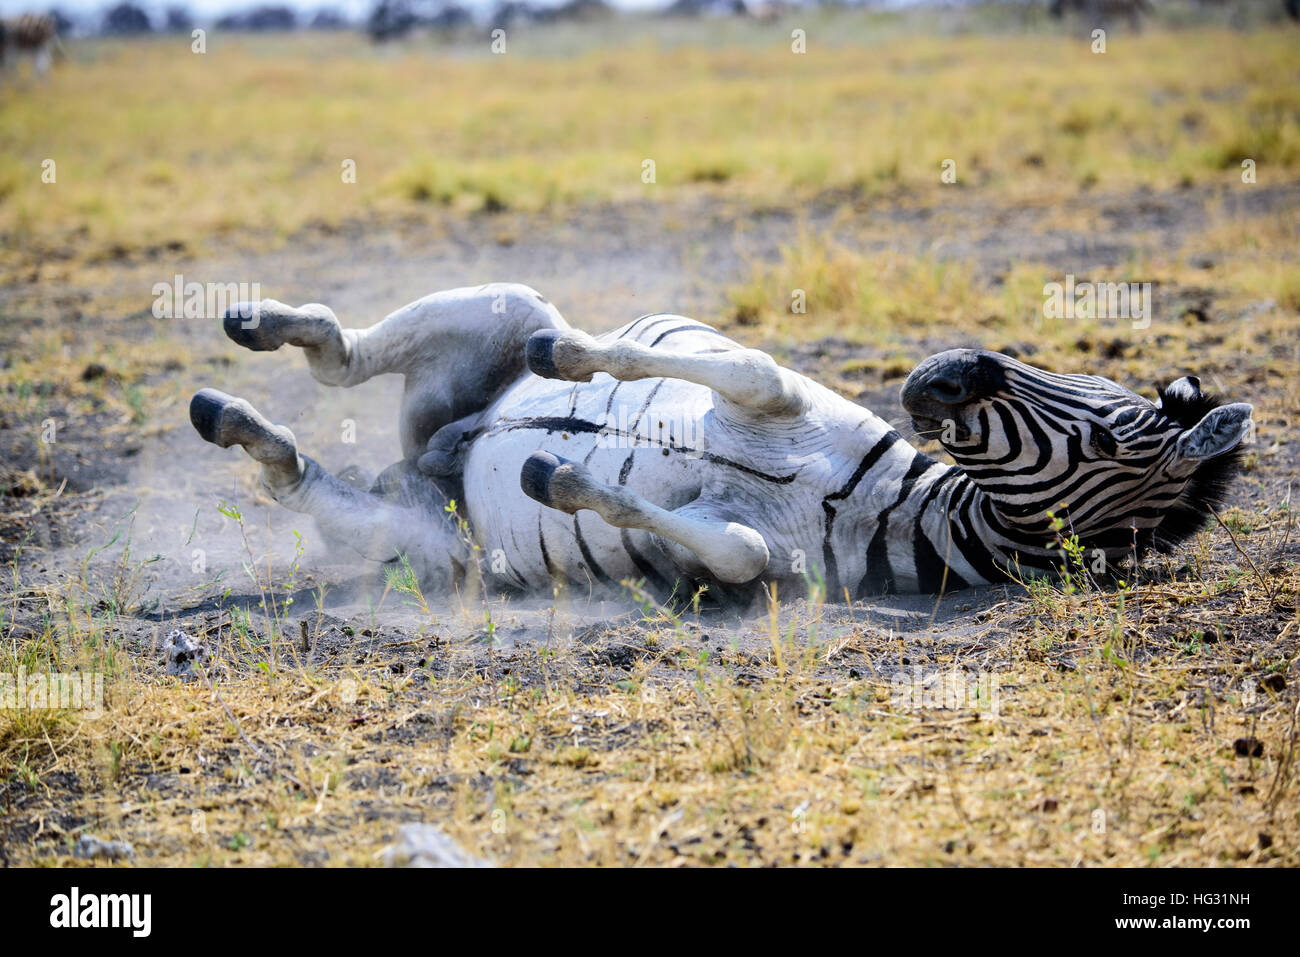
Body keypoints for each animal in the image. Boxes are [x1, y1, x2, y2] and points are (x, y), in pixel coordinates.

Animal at [188, 286, 1253, 605]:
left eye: (1113, 425)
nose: (945, 369)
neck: (867, 500)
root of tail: (419, 463)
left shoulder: (763, 563)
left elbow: (731, 546)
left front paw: (556, 471)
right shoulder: (776, 391)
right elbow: (740, 366)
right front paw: (571, 364)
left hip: (433, 545)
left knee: (298, 470)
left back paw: (235, 420)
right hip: (498, 309)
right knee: (341, 354)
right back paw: (253, 326)